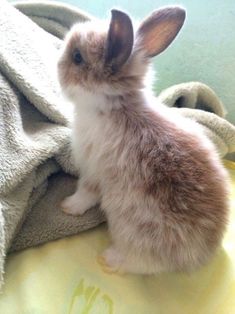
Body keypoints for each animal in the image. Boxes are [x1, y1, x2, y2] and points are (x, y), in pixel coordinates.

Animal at [57, 6, 229, 274]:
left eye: (77, 57)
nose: (57, 60)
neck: (116, 105)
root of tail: (199, 257)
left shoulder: (94, 170)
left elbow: (85, 194)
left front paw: (67, 206)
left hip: (133, 231)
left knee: (139, 261)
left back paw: (108, 259)